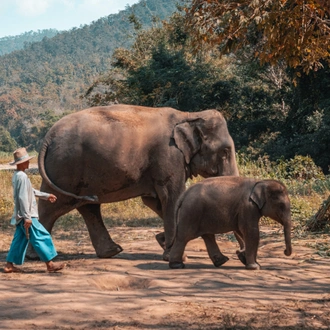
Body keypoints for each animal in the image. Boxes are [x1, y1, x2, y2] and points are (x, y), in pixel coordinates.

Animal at [34, 104, 238, 260]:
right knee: (53, 206)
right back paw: (35, 256)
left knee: (87, 206)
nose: (238, 254)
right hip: (65, 168)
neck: (189, 115)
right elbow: (172, 197)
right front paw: (173, 254)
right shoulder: (169, 157)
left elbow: (154, 201)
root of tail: (47, 138)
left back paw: (111, 252)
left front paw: (164, 242)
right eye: (225, 151)